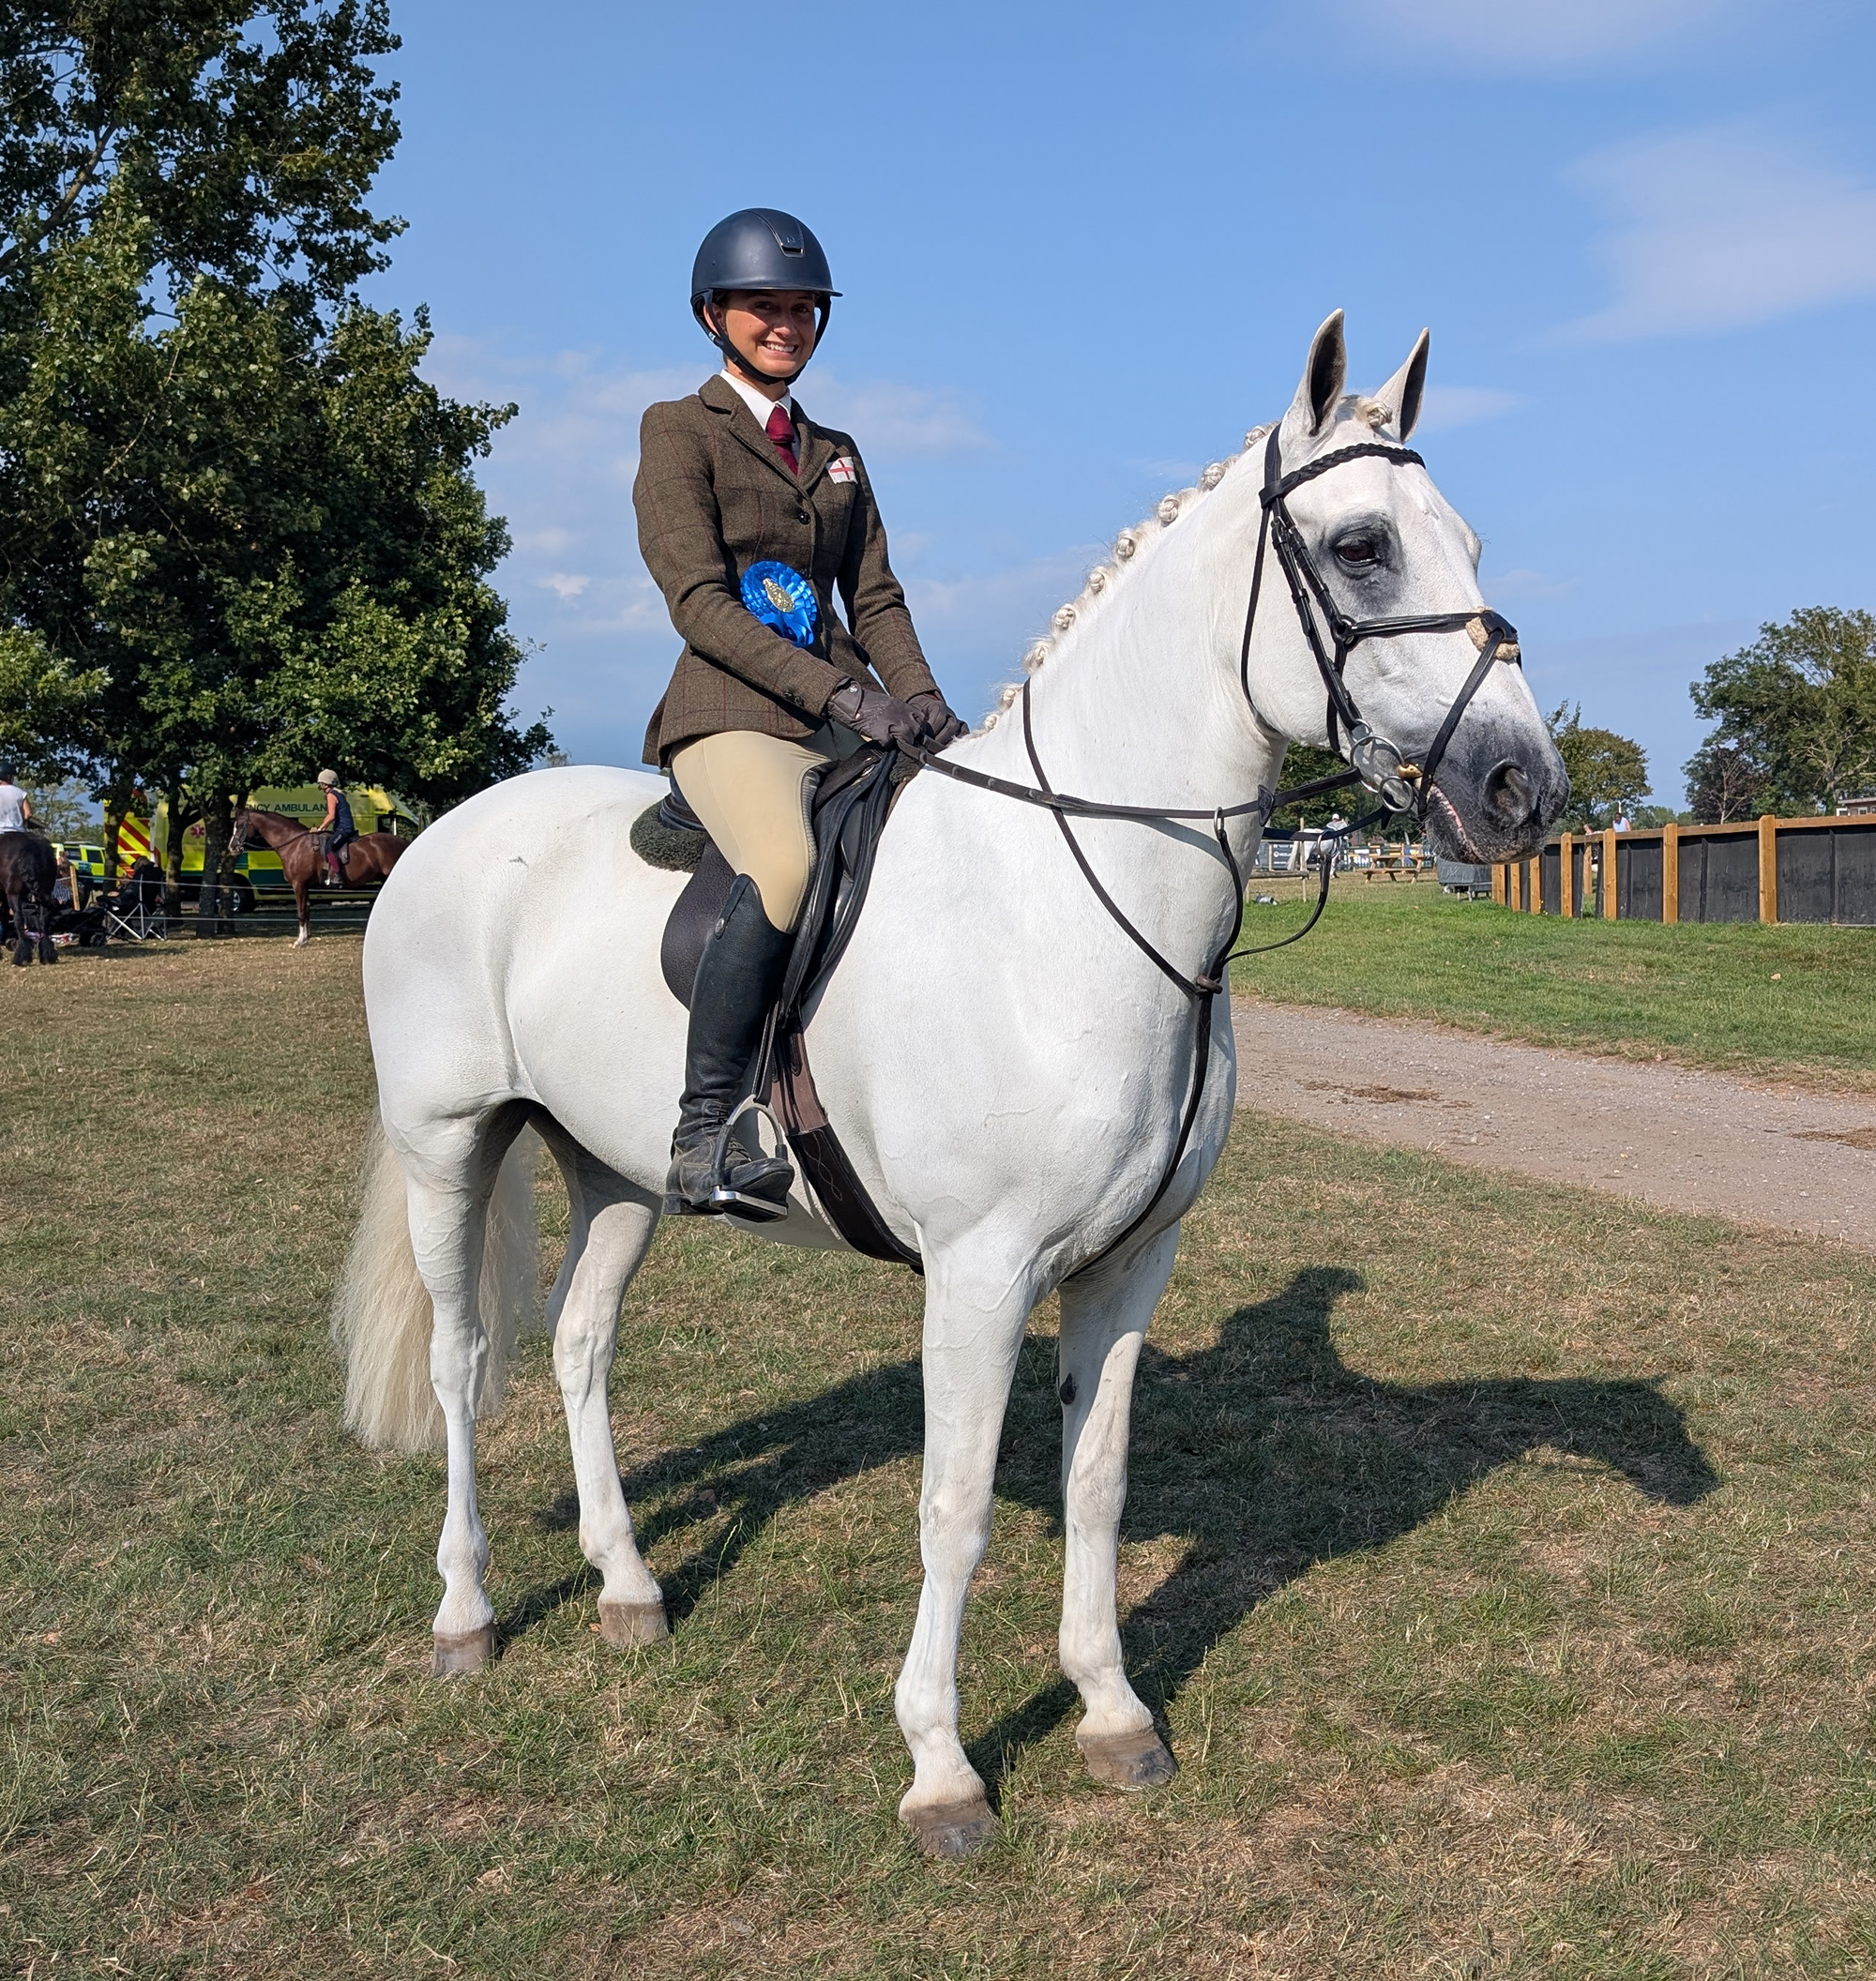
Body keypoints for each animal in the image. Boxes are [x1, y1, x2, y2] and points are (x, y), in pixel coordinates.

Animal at [0, 829, 57, 966]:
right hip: (45, 893)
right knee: (43, 919)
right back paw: (47, 954)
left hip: (14, 894)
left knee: (19, 919)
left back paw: (21, 956)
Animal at [228, 806, 407, 946]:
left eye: (240, 825)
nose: (232, 847)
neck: (294, 844)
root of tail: (403, 842)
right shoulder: (305, 886)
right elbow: (307, 909)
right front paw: (306, 938)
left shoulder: (298, 884)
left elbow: (301, 911)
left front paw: (299, 941)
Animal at [332, 314, 1568, 1858]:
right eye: (1360, 549)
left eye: (1467, 539)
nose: (1524, 788)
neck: (1076, 900)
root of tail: (443, 832)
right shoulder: (979, 1274)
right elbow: (956, 1505)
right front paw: (941, 1767)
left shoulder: (1128, 1263)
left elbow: (1097, 1483)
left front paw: (1111, 1715)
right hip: (449, 1143)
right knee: (461, 1360)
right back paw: (467, 1614)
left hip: (611, 1168)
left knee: (576, 1345)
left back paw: (626, 1589)